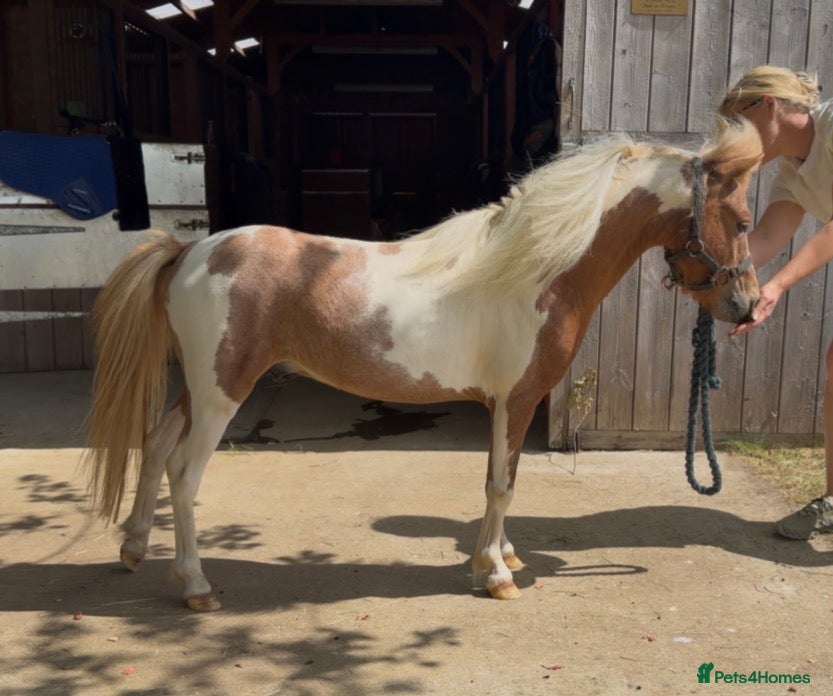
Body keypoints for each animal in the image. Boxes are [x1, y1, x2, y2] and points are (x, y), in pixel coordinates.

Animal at [85, 117, 762, 611]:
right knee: (183, 473)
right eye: (742, 219)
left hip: (198, 390)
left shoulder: (507, 405)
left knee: (154, 446)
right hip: (222, 394)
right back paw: (196, 586)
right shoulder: (517, 400)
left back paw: (134, 549)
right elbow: (501, 484)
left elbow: (500, 478)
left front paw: (503, 556)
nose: (748, 304)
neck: (537, 271)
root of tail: (190, 251)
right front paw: (495, 576)